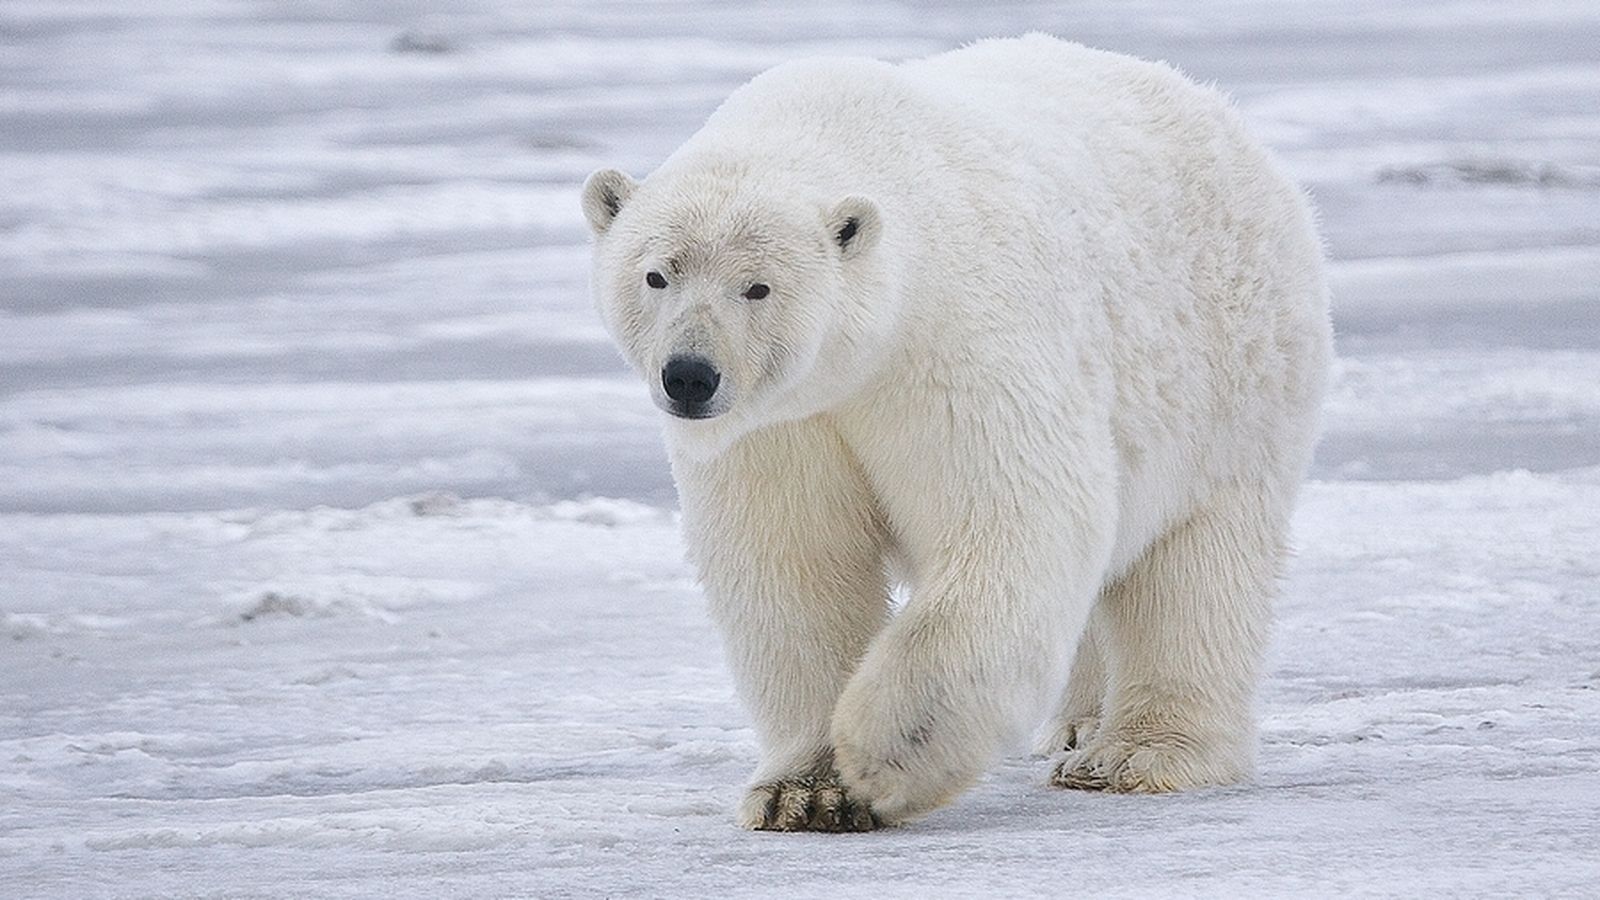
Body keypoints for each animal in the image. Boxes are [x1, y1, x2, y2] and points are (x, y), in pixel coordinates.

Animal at [581, 34, 1331, 831]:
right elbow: (793, 564)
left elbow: (1013, 520)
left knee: (1197, 568)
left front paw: (883, 755)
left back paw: (1133, 754)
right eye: (656, 275)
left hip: (1232, 375)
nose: (690, 376)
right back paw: (1076, 724)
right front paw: (804, 791)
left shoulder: (956, 344)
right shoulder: (781, 424)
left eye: (758, 287)